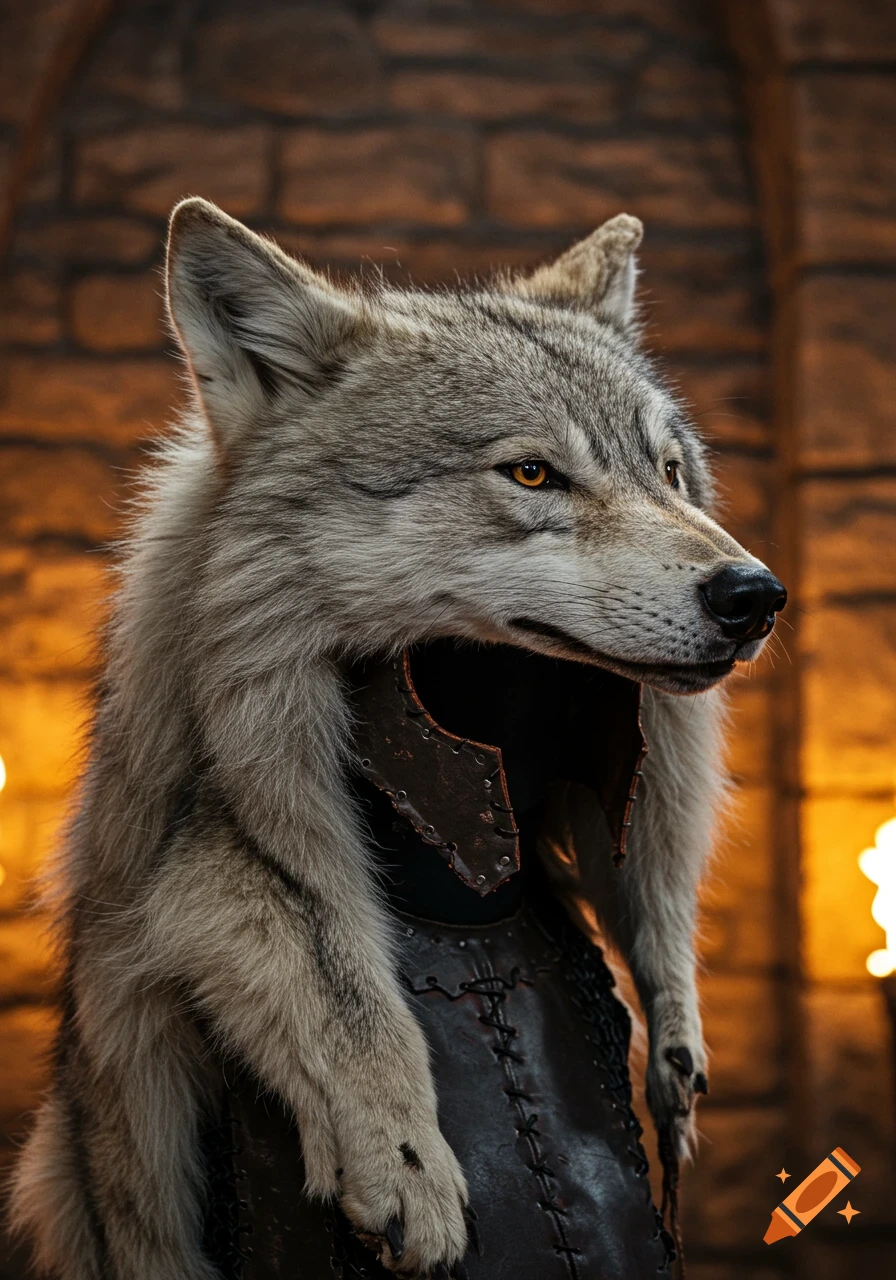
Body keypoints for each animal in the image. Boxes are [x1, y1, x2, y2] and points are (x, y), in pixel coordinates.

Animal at [10, 198, 784, 1279]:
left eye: (670, 474)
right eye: (532, 472)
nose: (755, 596)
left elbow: (659, 921)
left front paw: (673, 1049)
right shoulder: (227, 829)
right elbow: (330, 961)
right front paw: (404, 1160)